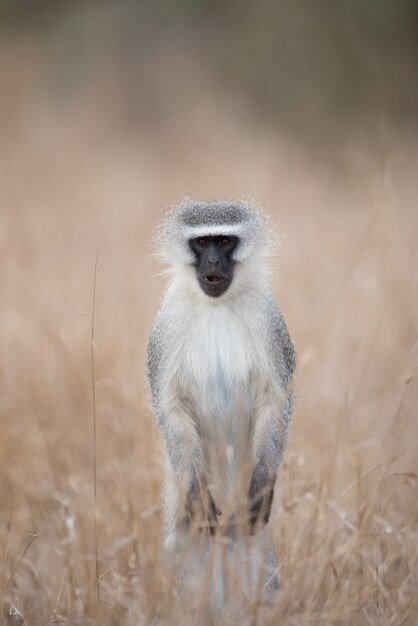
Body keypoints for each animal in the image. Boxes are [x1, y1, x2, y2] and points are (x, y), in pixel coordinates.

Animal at [149, 196, 296, 600]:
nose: (214, 262)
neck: (217, 304)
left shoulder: (269, 319)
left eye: (226, 241)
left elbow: (276, 400)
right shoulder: (166, 324)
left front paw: (262, 484)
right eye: (202, 243)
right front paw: (197, 494)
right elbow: (170, 407)